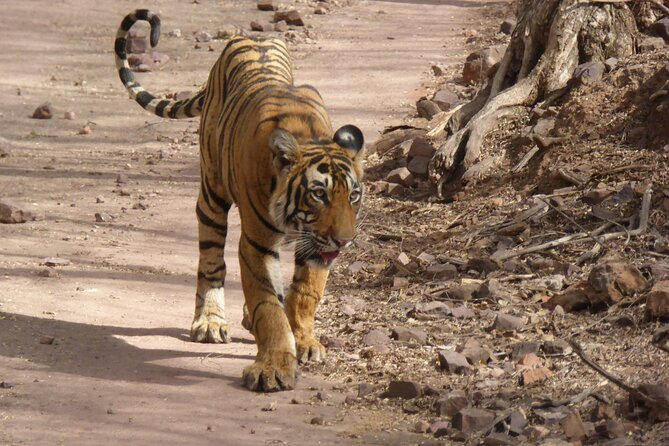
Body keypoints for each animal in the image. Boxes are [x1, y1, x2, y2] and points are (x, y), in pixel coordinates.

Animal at [114, 10, 364, 391]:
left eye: (353, 196)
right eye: (319, 194)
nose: (344, 240)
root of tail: (249, 38)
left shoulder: (316, 247)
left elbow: (306, 293)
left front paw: (304, 340)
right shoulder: (257, 243)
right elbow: (268, 306)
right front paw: (274, 366)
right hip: (212, 196)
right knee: (211, 263)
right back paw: (210, 322)